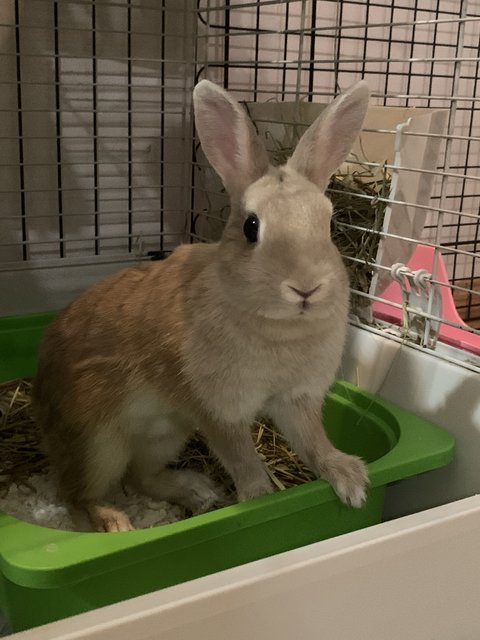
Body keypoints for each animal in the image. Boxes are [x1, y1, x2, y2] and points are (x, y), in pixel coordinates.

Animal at [32, 80, 372, 532]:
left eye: (330, 224)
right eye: (251, 227)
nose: (306, 288)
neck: (278, 327)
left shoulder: (296, 399)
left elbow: (313, 441)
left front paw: (350, 482)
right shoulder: (217, 409)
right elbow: (242, 457)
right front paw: (259, 497)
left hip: (165, 435)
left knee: (139, 477)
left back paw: (197, 491)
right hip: (98, 443)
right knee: (77, 493)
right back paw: (115, 521)